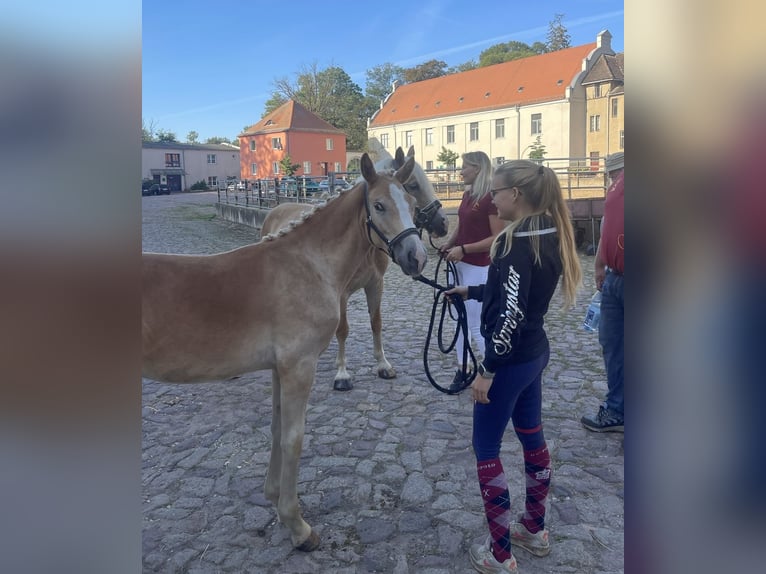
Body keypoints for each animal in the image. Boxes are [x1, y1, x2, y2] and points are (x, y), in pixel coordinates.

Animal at [142, 154, 428, 552]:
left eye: (412, 204)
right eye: (379, 205)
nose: (417, 258)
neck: (306, 265)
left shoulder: (279, 368)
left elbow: (277, 428)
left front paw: (274, 496)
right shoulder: (299, 366)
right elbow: (295, 438)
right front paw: (298, 527)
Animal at [262, 146, 450, 394]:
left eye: (409, 201)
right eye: (413, 185)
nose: (443, 224)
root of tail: (278, 207)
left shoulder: (375, 285)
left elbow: (376, 322)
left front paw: (383, 364)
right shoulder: (341, 294)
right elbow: (343, 329)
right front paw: (342, 373)